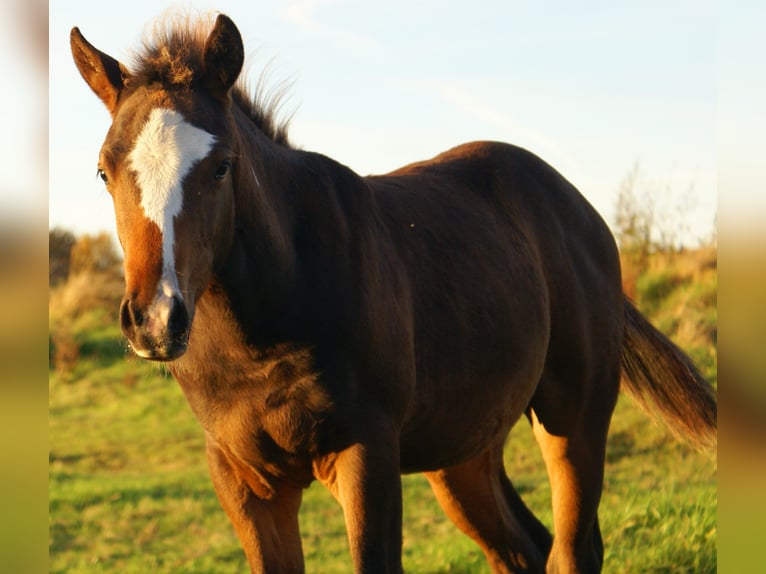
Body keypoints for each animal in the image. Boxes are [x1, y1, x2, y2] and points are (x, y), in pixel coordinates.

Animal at [70, 13, 716, 573]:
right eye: (103, 171)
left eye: (222, 166)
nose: (156, 320)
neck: (264, 335)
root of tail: (581, 212)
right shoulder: (244, 480)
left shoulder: (368, 457)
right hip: (465, 448)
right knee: (523, 550)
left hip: (572, 417)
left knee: (571, 551)